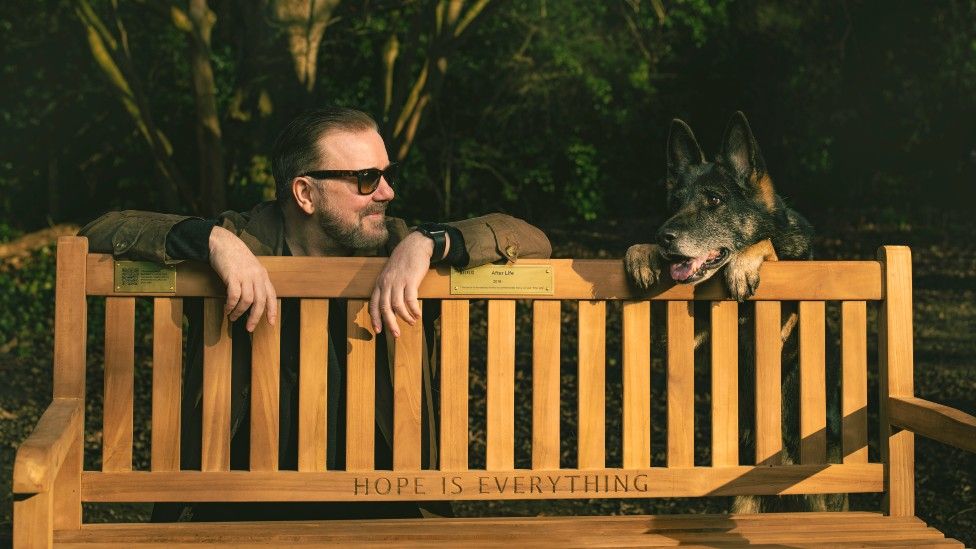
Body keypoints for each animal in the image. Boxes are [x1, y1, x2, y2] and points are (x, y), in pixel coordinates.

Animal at [628, 113, 844, 512]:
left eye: (714, 199)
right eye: (674, 203)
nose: (664, 236)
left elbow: (766, 245)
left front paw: (744, 265)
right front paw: (642, 253)